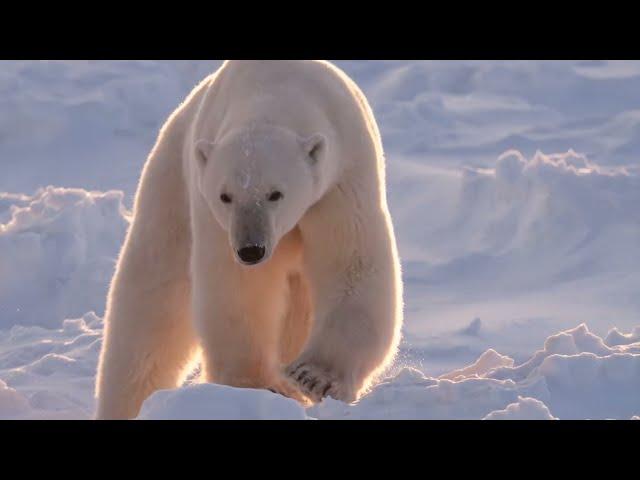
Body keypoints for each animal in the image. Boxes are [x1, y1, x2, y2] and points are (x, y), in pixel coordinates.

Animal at [94, 61, 404, 420]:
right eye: (225, 195)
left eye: (275, 193)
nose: (251, 250)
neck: (273, 89)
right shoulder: (211, 213)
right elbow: (238, 290)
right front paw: (255, 386)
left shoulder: (341, 182)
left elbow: (352, 265)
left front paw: (313, 377)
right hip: (171, 187)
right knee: (150, 305)